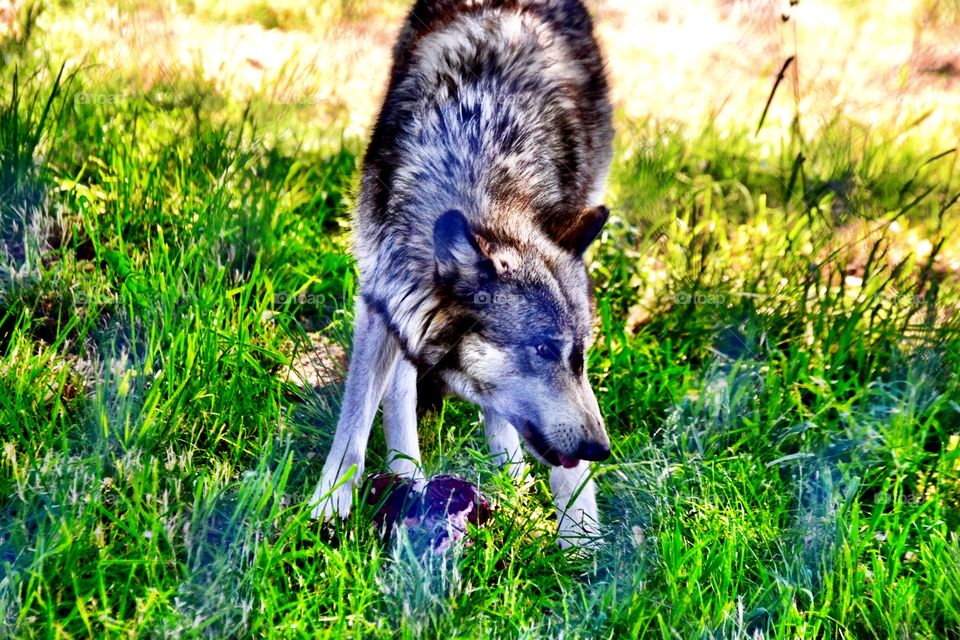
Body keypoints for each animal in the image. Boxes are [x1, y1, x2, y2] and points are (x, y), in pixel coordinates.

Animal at [310, 0, 614, 547]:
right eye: (543, 350)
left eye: (580, 357)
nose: (601, 448)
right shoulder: (381, 301)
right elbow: (358, 412)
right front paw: (331, 500)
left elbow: (568, 469)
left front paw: (581, 542)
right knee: (403, 388)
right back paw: (411, 473)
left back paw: (508, 476)